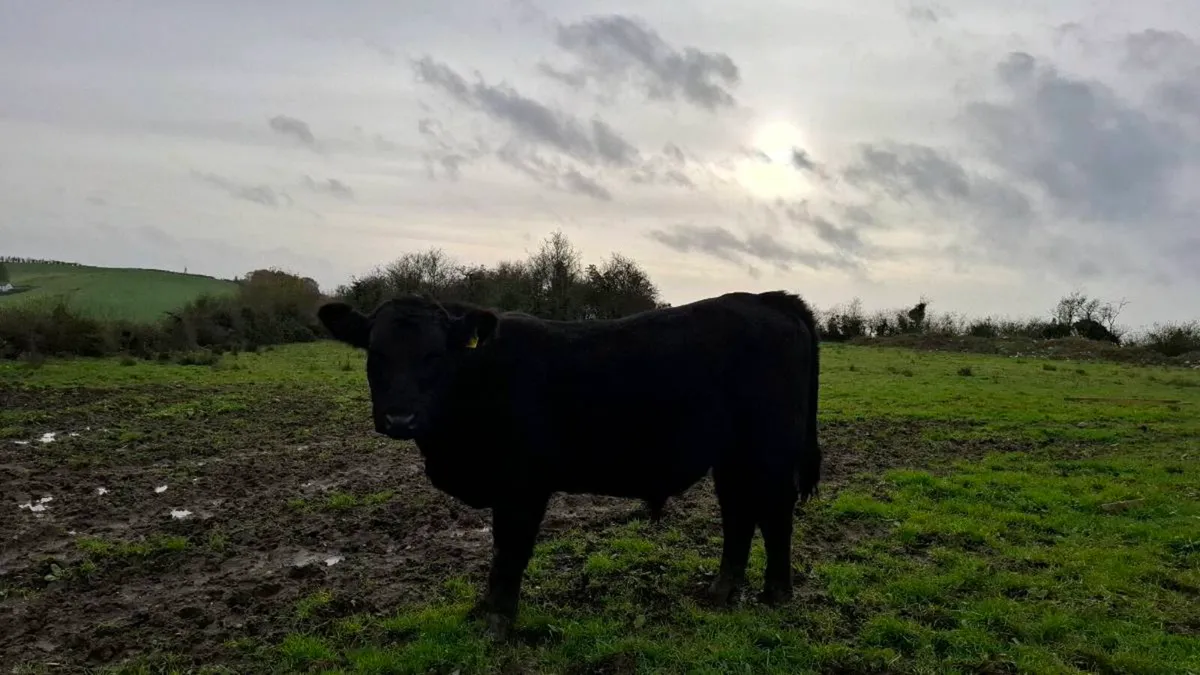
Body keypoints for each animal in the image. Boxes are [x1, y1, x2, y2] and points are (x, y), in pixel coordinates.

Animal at [318, 290, 822, 639]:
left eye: (434, 354)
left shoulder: (522, 486)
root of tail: (766, 299)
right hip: (732, 457)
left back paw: (777, 594)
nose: (400, 418)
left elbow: (510, 550)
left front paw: (496, 621)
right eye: (376, 354)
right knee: (738, 514)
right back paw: (720, 593)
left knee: (775, 515)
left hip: (770, 450)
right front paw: (483, 611)